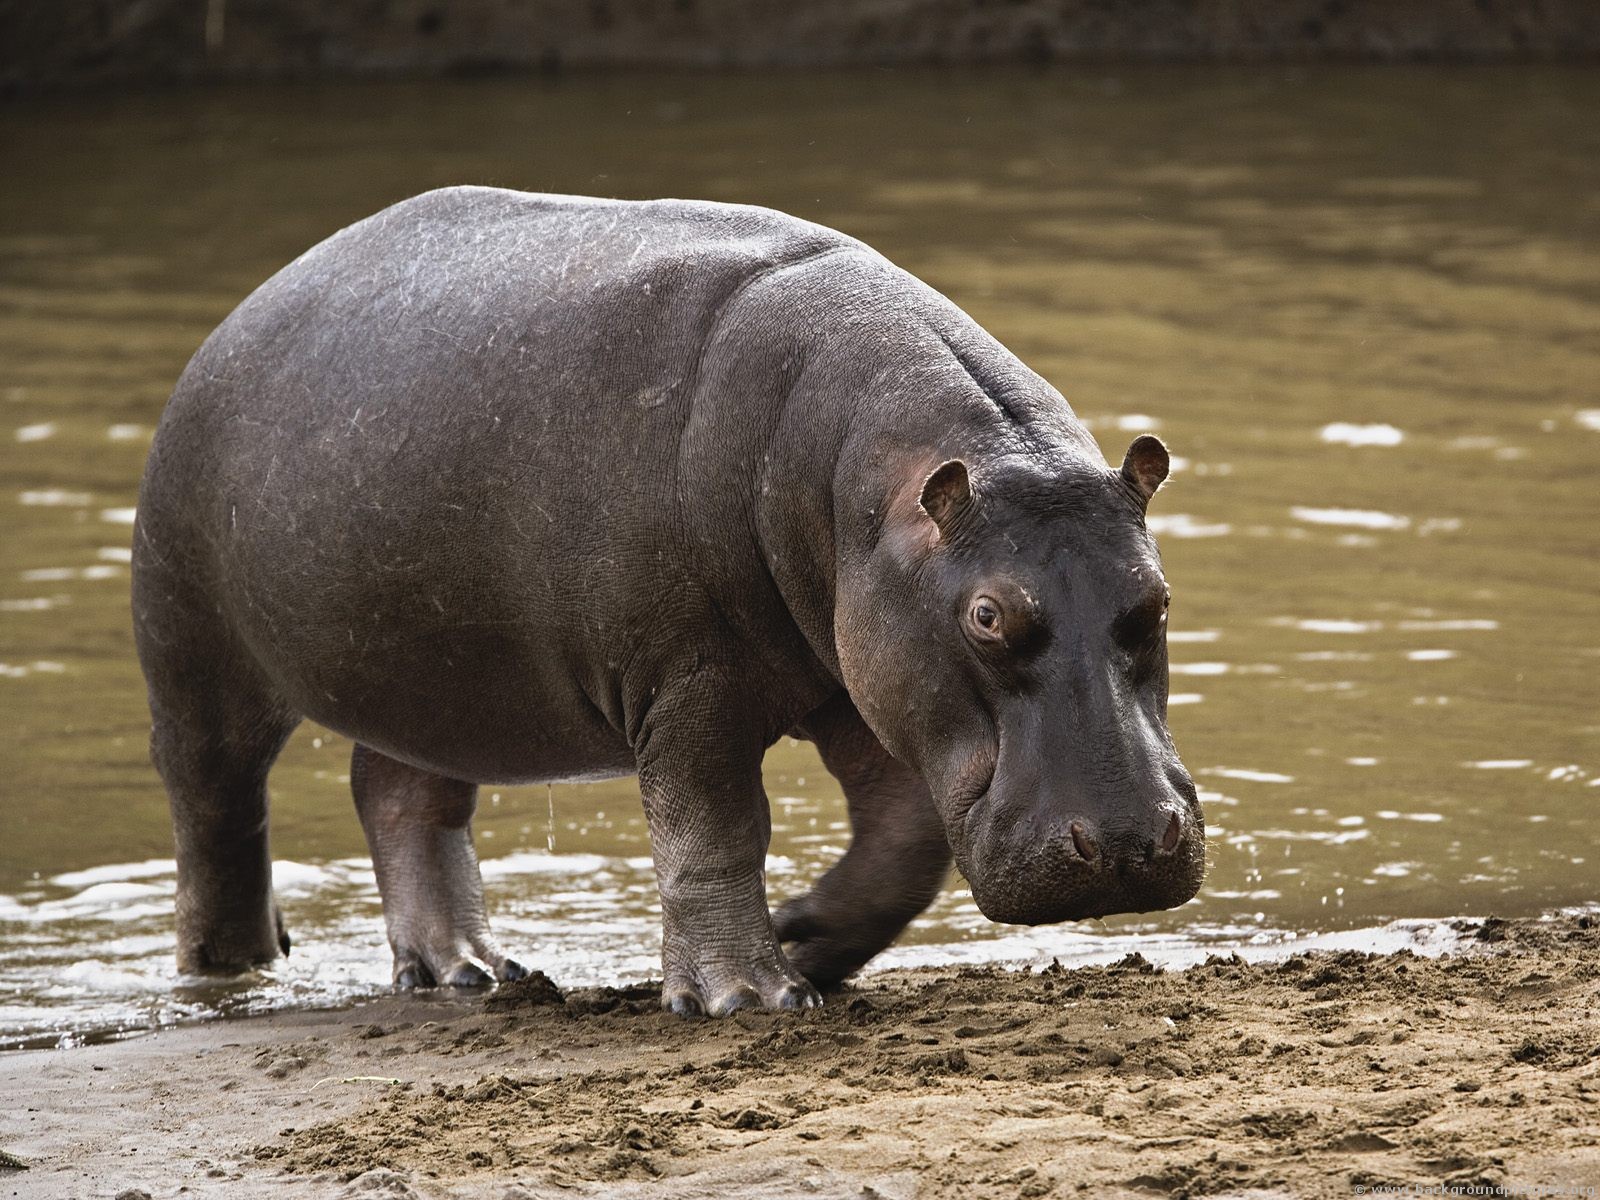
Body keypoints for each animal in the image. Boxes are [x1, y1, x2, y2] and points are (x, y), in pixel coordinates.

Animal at [132, 187, 1204, 1016]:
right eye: (988, 616)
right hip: (194, 651)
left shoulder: (862, 680)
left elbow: (904, 842)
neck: (867, 485)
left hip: (430, 677)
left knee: (400, 796)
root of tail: (238, 317)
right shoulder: (689, 685)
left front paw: (803, 937)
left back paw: (467, 972)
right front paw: (748, 997)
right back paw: (230, 973)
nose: (1123, 844)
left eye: (1155, 598)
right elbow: (715, 832)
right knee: (215, 817)